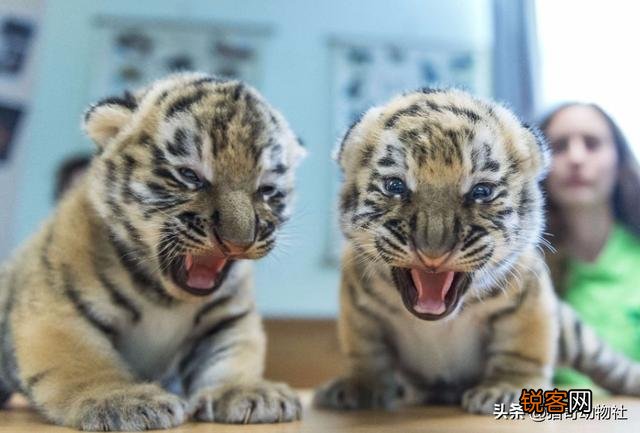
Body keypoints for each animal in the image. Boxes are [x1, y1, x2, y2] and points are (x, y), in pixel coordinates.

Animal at [0, 72, 306, 430]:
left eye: (267, 190)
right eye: (190, 175)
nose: (238, 241)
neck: (165, 297)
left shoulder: (228, 315)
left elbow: (233, 352)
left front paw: (247, 391)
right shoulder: (59, 308)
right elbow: (83, 361)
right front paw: (121, 400)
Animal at [313, 88, 640, 414]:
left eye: (481, 191)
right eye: (395, 186)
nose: (433, 250)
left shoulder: (529, 295)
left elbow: (523, 347)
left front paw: (503, 389)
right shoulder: (358, 306)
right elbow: (366, 351)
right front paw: (358, 387)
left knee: (607, 360)